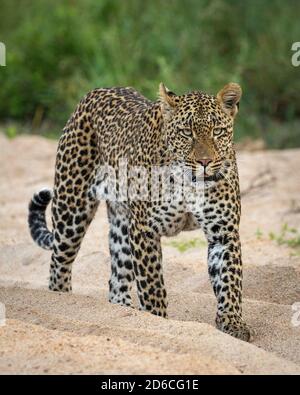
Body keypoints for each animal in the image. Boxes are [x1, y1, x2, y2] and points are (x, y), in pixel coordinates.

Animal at [28, 82, 252, 342]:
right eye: (187, 133)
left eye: (217, 131)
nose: (205, 162)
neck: (189, 182)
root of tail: (96, 91)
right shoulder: (145, 230)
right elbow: (152, 285)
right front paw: (159, 322)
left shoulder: (224, 233)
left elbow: (230, 281)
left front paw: (232, 323)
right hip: (71, 211)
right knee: (59, 264)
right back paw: (62, 299)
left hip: (122, 227)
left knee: (116, 278)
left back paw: (123, 314)